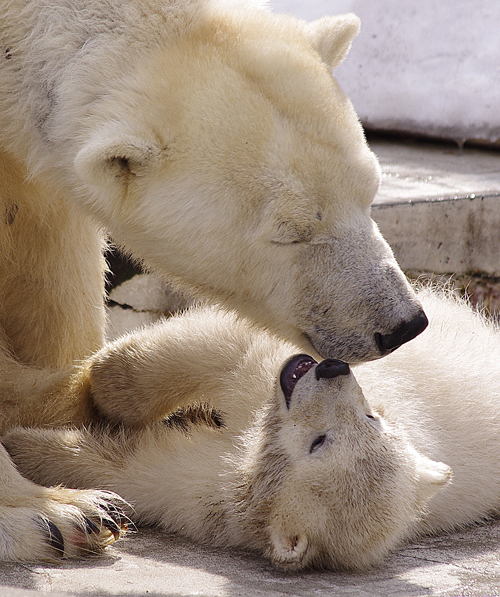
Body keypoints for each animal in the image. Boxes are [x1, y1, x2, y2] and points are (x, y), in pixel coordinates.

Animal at [0, 0, 426, 560]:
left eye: (370, 190)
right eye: (289, 233)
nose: (402, 324)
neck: (17, 26)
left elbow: (51, 265)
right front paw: (58, 512)